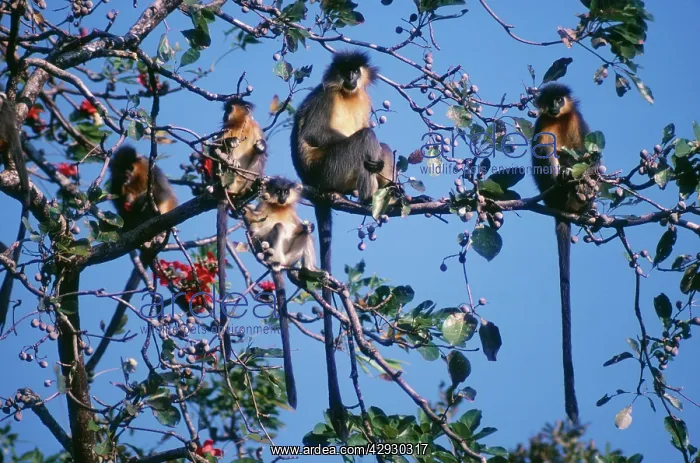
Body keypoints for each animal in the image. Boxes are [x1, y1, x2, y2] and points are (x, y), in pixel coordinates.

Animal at [243, 176, 318, 409]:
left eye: (286, 191)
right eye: (278, 191)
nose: (283, 196)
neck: (278, 207)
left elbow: (301, 227)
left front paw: (308, 226)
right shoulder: (262, 214)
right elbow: (256, 228)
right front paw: (247, 213)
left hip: (291, 256)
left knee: (304, 232)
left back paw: (311, 270)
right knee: (276, 228)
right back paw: (272, 260)